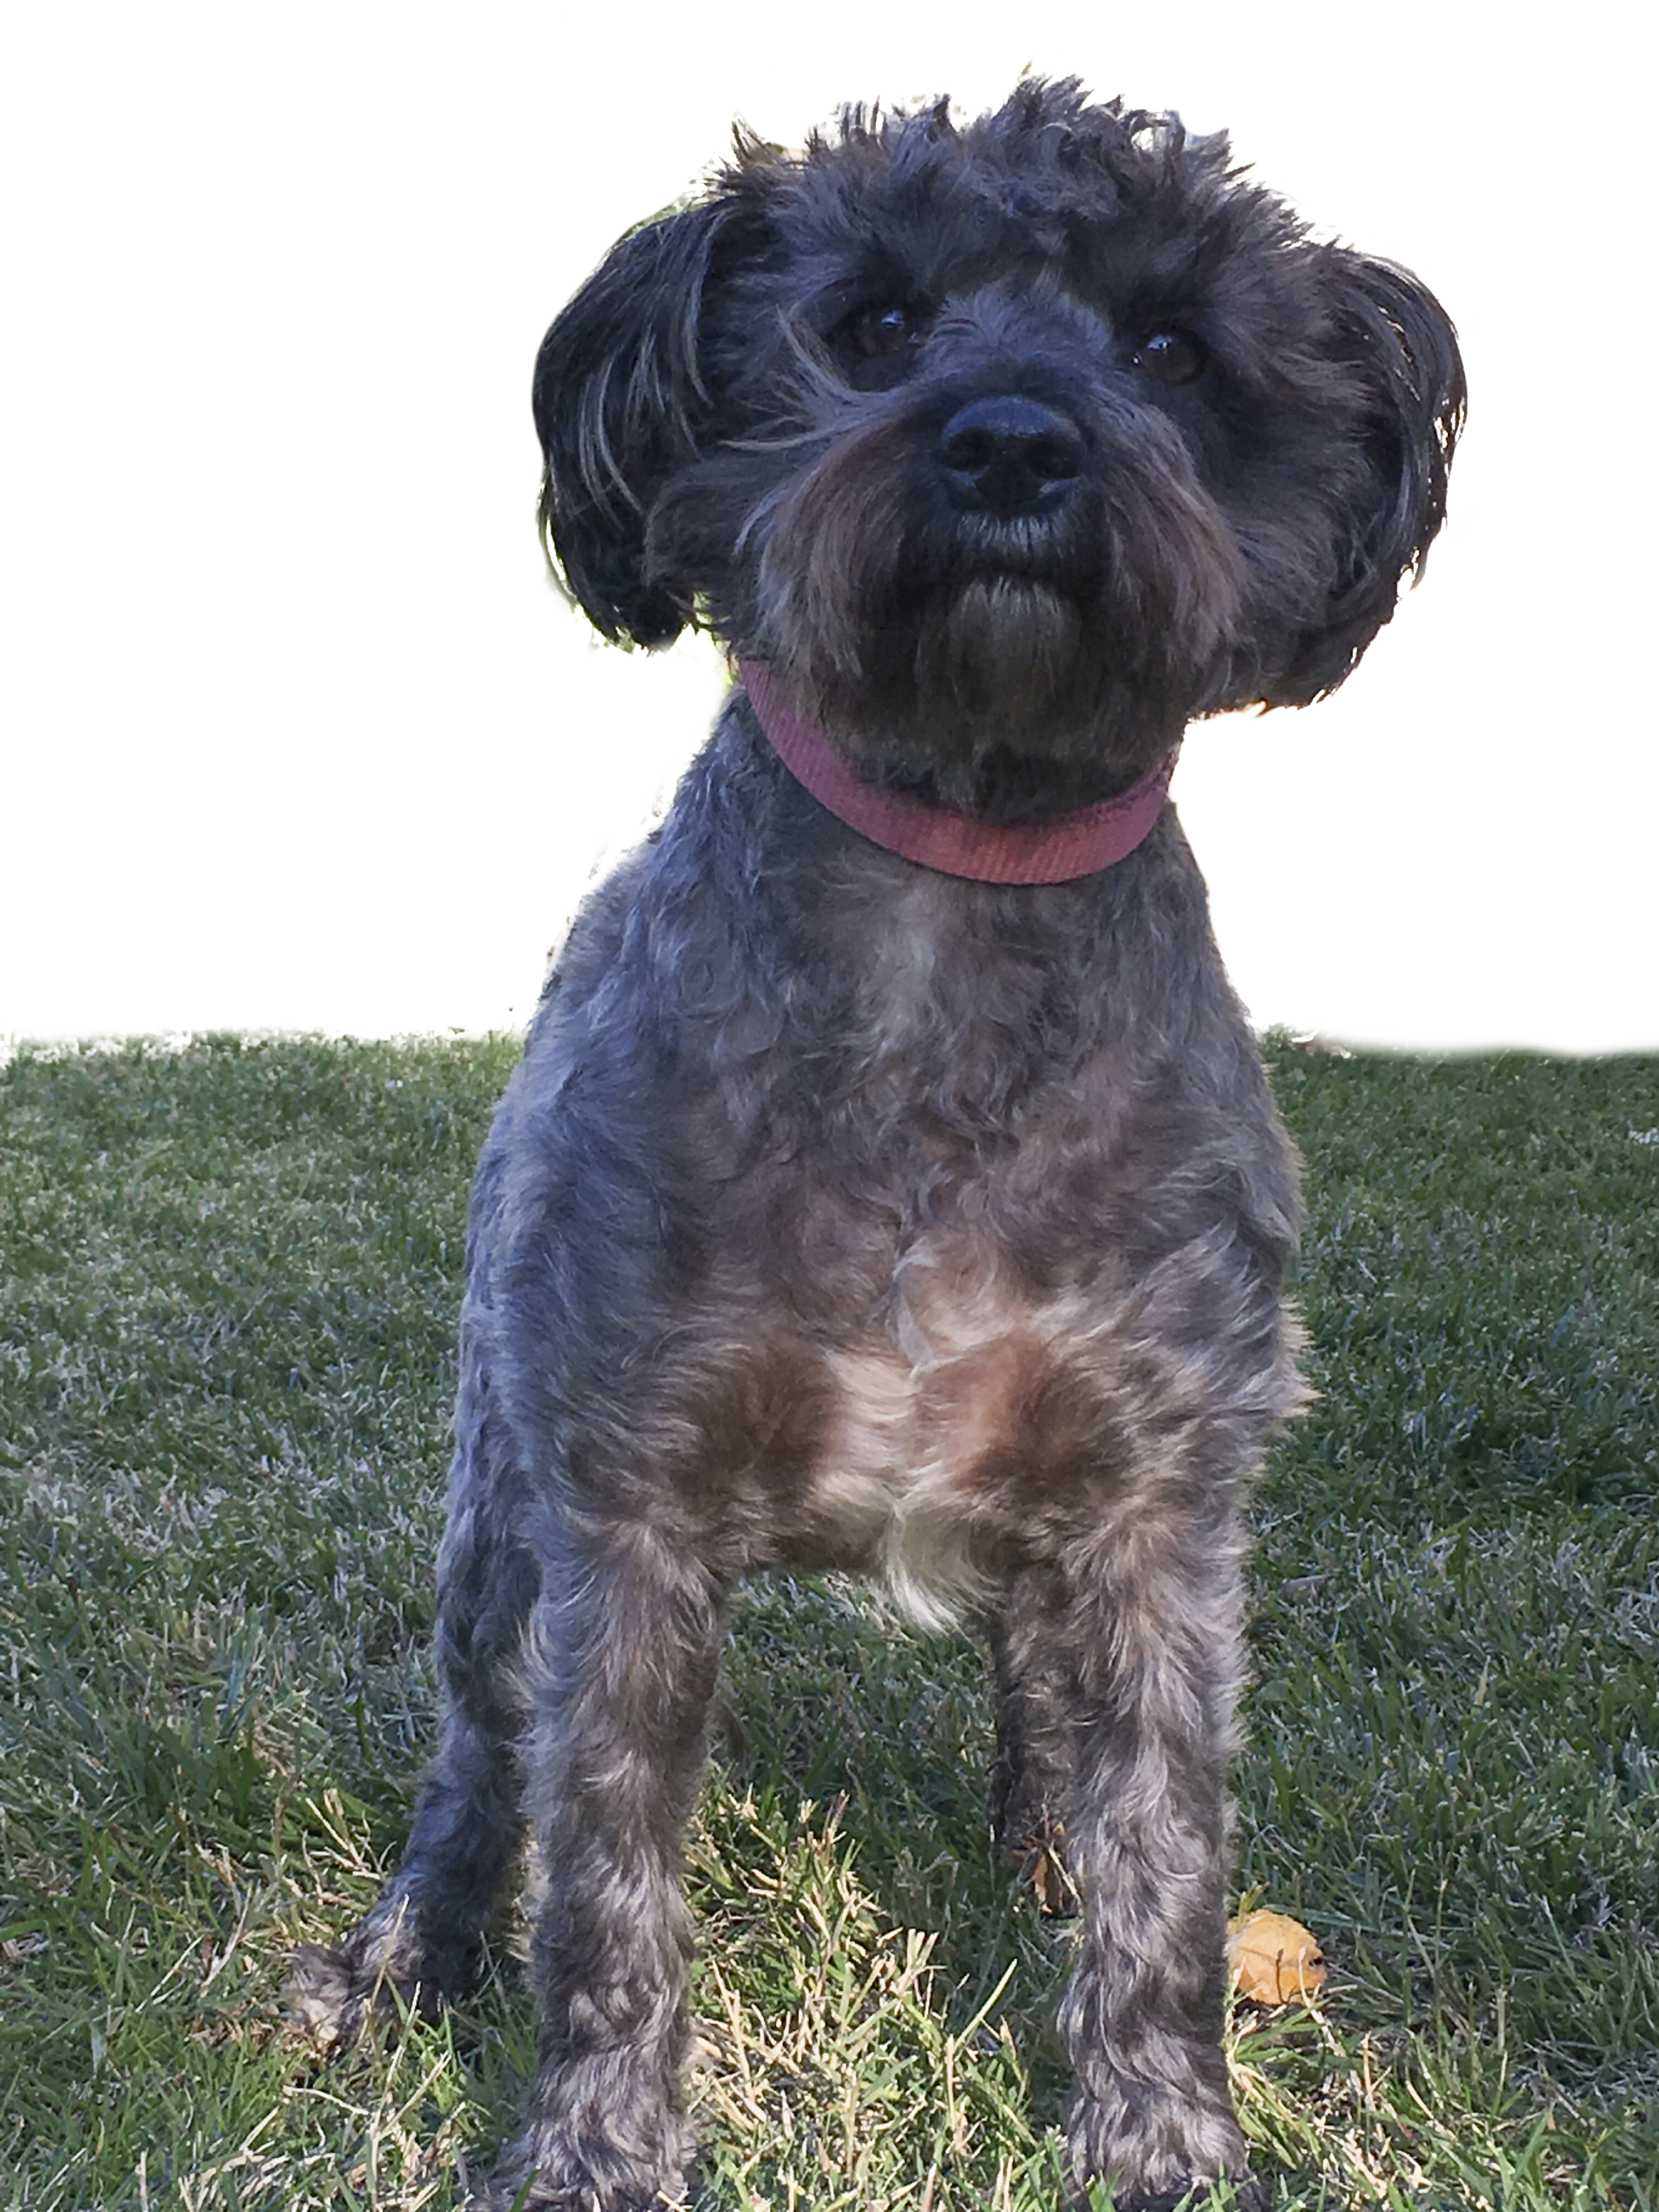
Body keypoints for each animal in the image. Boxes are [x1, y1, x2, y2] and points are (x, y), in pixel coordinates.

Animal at [290, 78, 1469, 2203]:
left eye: (1172, 345)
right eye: (875, 320)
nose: (1012, 442)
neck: (951, 899)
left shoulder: (1160, 1507)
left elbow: (1169, 1858)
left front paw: (1158, 2129)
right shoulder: (630, 1513)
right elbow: (602, 1880)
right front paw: (590, 2149)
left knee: (1040, 1726)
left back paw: (1035, 1863)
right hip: (499, 1515)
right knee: (474, 1760)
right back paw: (405, 1951)